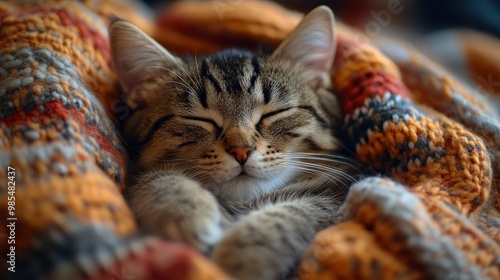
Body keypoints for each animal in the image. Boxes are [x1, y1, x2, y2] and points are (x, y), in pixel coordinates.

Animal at [110, 4, 356, 280]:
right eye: (198, 119)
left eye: (274, 113)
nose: (241, 150)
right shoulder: (139, 176)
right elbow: (156, 178)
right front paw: (186, 215)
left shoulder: (340, 192)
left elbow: (297, 212)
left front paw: (243, 255)